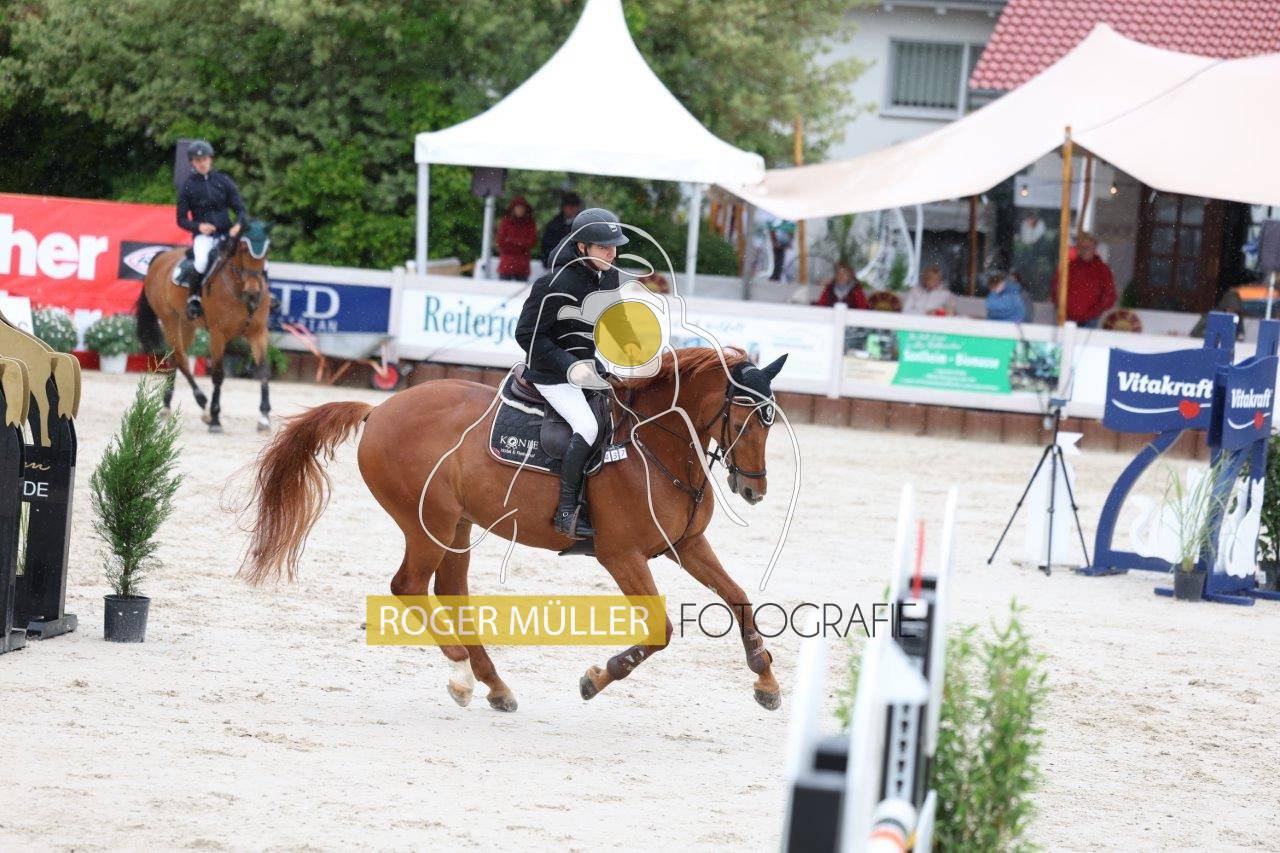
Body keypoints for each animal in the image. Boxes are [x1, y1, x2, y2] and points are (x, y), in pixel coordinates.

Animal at [136, 220, 273, 433]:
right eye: (243, 248)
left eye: (267, 249)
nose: (253, 291)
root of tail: (161, 256)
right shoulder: (218, 334)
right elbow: (218, 374)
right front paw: (215, 418)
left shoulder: (258, 332)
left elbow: (264, 370)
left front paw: (264, 417)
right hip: (169, 318)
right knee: (182, 359)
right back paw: (203, 404)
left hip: (187, 324)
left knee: (174, 358)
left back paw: (167, 406)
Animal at [237, 347, 789, 712]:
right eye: (745, 419)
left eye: (771, 422)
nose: (754, 489)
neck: (653, 446)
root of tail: (380, 411)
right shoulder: (621, 556)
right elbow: (662, 630)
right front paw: (596, 678)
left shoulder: (687, 544)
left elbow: (739, 598)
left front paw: (766, 682)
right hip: (427, 523)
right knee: (408, 586)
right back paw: (461, 674)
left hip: (458, 525)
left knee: (451, 590)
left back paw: (493, 684)